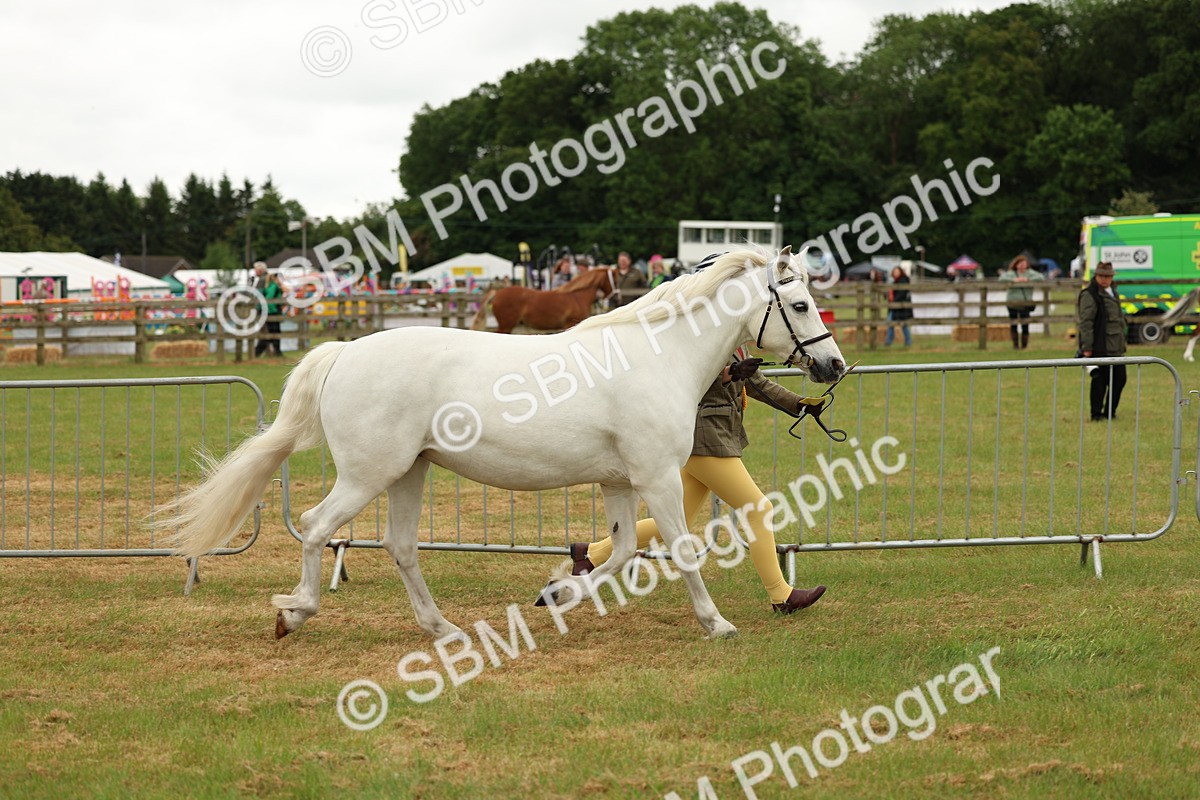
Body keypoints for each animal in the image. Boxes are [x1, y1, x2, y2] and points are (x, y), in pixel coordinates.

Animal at [470, 268, 617, 333]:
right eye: (615, 278)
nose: (617, 297)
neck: (577, 297)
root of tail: (497, 292)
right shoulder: (569, 324)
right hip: (506, 325)